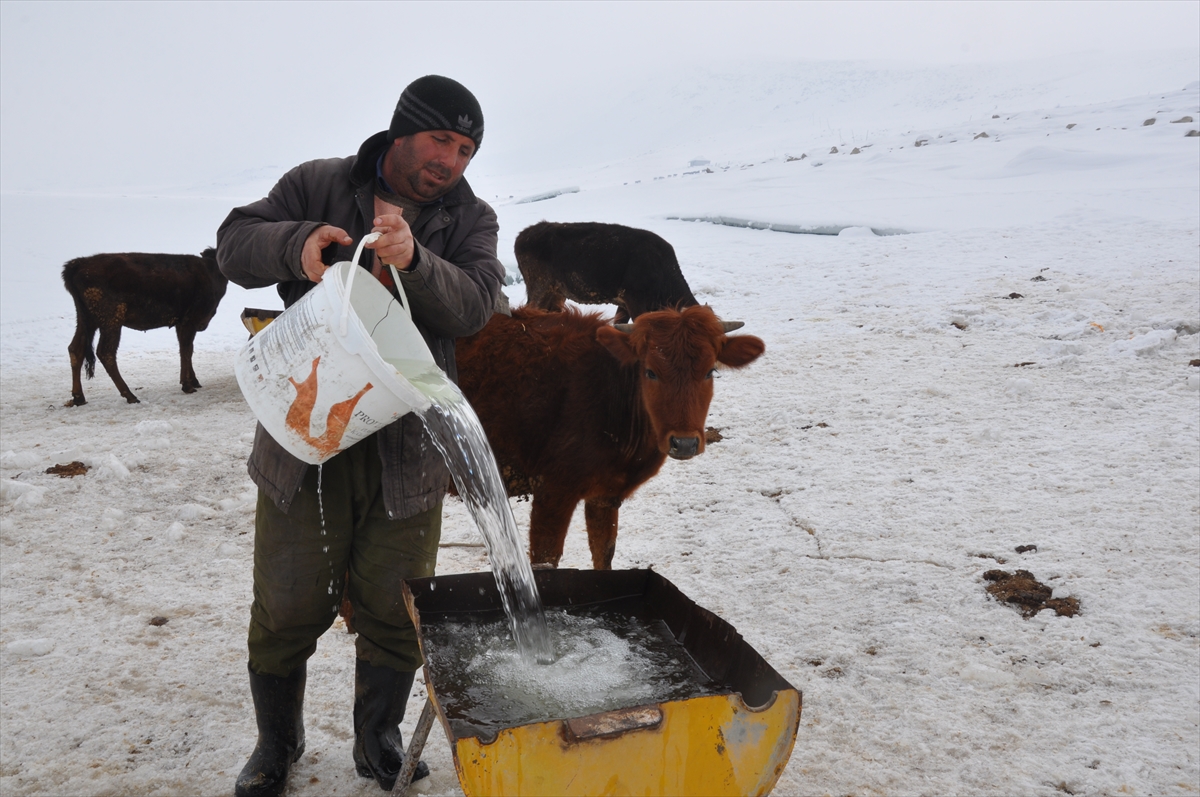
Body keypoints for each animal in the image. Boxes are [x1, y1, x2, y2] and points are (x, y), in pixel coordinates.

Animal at [62, 247, 226, 405]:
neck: (210, 270)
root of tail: (78, 264)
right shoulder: (188, 322)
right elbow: (187, 350)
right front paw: (188, 385)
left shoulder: (181, 324)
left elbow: (185, 350)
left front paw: (193, 381)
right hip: (111, 322)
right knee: (105, 352)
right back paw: (130, 395)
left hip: (86, 321)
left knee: (76, 349)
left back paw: (79, 397)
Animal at [453, 302, 763, 568]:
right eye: (650, 372)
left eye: (711, 371)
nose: (684, 443)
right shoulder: (552, 489)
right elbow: (546, 560)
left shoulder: (606, 494)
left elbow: (604, 553)